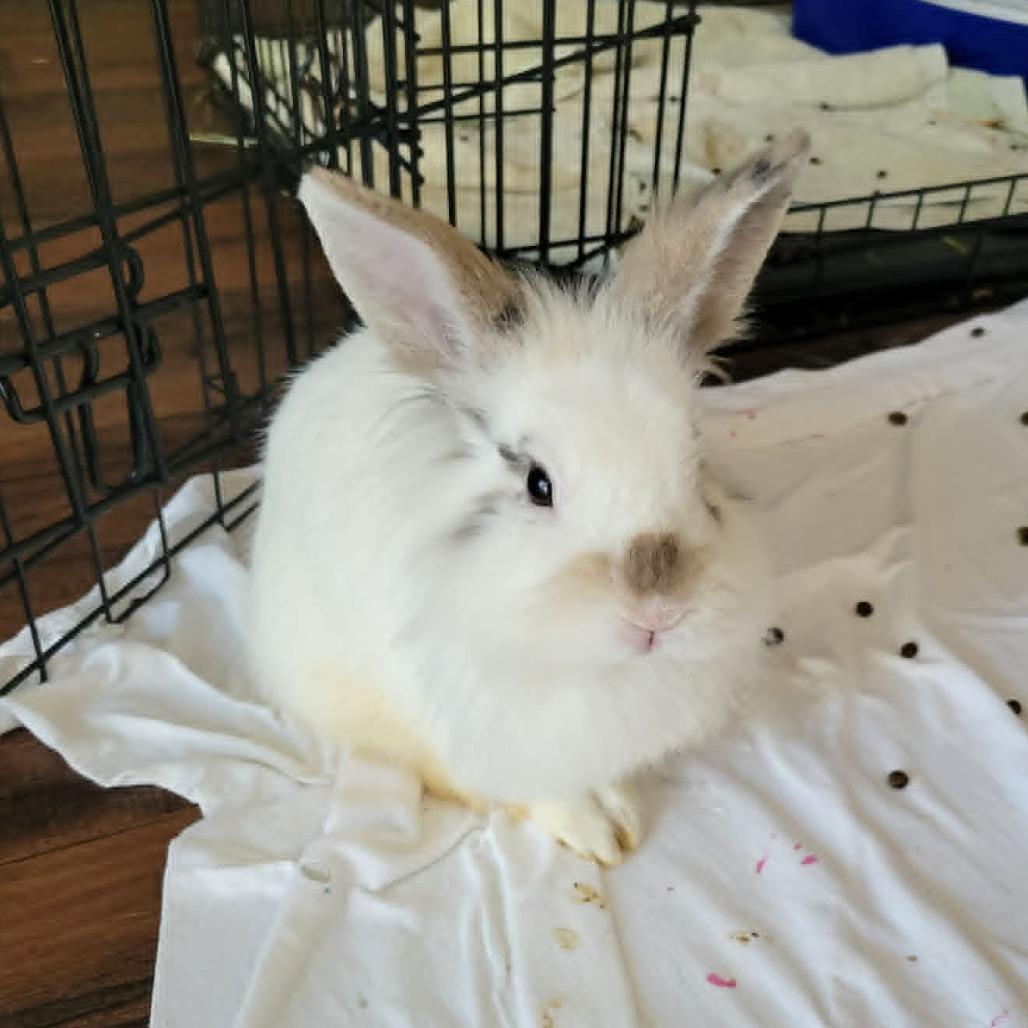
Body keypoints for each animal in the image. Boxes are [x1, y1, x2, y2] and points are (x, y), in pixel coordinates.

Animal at [248, 129, 810, 866]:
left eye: (694, 458)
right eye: (538, 485)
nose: (658, 613)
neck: (588, 669)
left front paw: (622, 810)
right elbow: (538, 790)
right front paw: (602, 836)